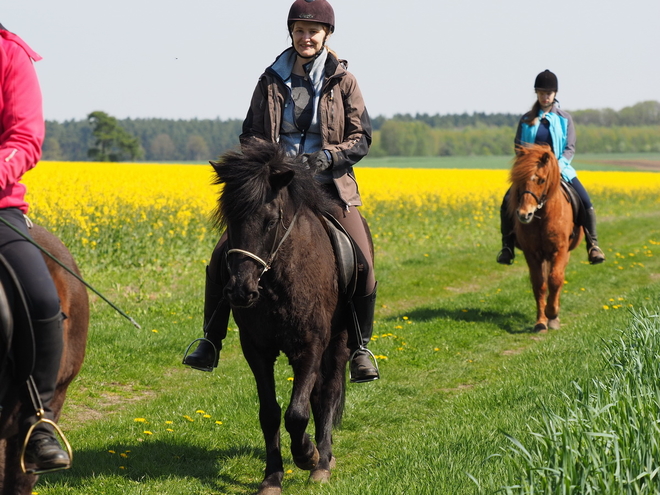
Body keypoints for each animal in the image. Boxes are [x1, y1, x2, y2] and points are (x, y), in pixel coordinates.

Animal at [213, 141, 354, 494]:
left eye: (271, 221)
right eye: (229, 219)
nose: (241, 291)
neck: (277, 282)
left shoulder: (311, 346)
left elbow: (297, 413)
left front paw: (308, 455)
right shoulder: (256, 350)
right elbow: (270, 413)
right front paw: (272, 477)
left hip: (340, 342)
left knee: (329, 392)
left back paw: (323, 461)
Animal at [510, 145, 584, 334]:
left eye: (542, 180)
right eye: (519, 179)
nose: (524, 214)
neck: (543, 215)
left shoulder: (560, 249)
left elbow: (555, 280)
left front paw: (552, 313)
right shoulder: (532, 253)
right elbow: (539, 284)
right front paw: (541, 321)